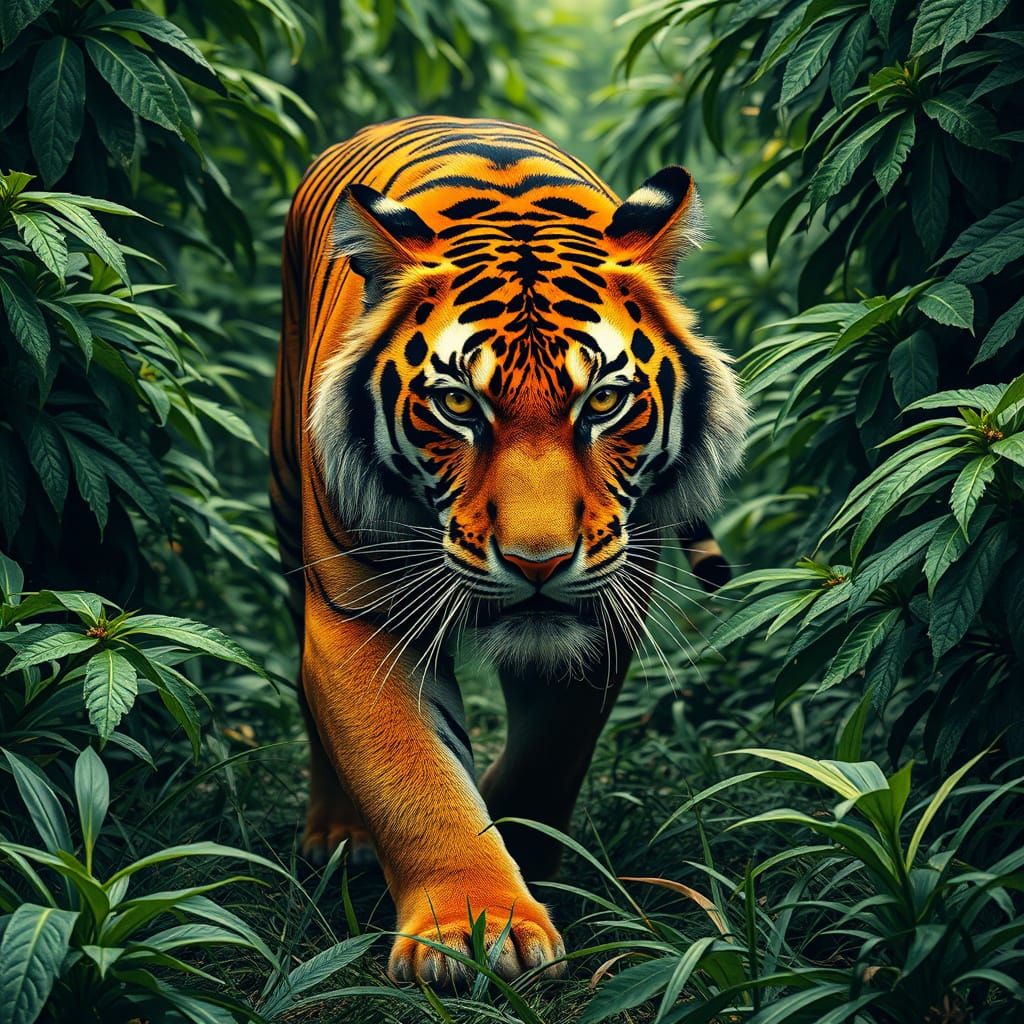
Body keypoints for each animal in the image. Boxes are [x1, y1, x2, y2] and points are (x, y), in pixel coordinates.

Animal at [270, 115, 747, 988]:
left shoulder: (604, 609)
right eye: (458, 405)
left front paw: (520, 848)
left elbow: (550, 750)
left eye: (605, 401)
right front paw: (472, 927)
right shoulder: (361, 618)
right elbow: (411, 776)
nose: (537, 563)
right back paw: (338, 836)